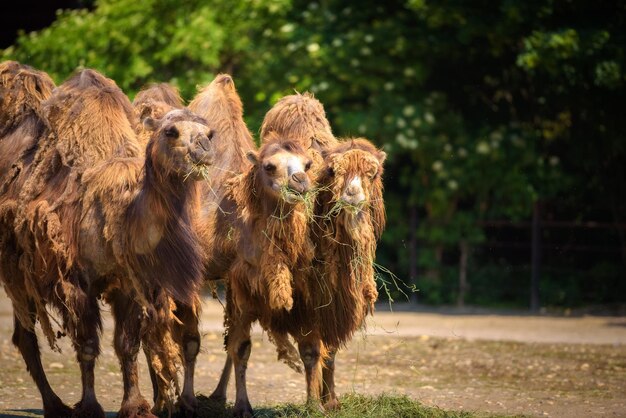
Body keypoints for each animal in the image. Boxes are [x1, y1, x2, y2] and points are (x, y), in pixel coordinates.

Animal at [0, 63, 212, 416]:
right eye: (171, 131)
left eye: (209, 132)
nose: (204, 148)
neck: (121, 213)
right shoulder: (76, 280)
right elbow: (87, 345)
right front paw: (89, 406)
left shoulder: (130, 281)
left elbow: (127, 345)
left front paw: (136, 406)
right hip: (14, 271)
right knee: (26, 336)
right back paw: (55, 405)